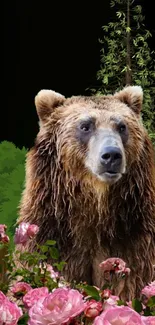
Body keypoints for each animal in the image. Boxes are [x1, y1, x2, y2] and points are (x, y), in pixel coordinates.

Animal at [16, 85, 155, 298]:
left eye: (121, 126)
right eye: (85, 126)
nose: (112, 155)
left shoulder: (135, 237)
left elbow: (130, 282)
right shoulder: (51, 234)